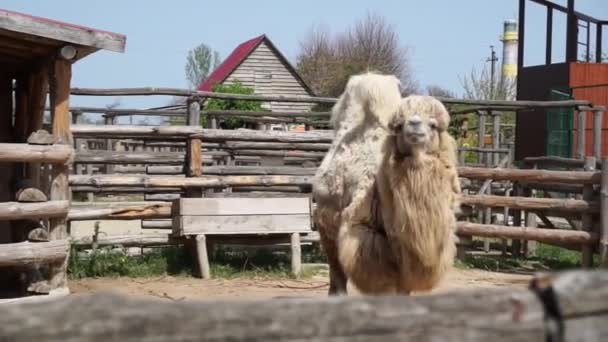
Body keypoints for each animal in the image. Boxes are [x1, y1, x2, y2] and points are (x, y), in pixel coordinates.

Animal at [314, 73, 460, 296]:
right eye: (400, 126)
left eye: (433, 125)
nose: (414, 124)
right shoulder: (368, 240)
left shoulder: (407, 255)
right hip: (326, 221)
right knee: (336, 270)